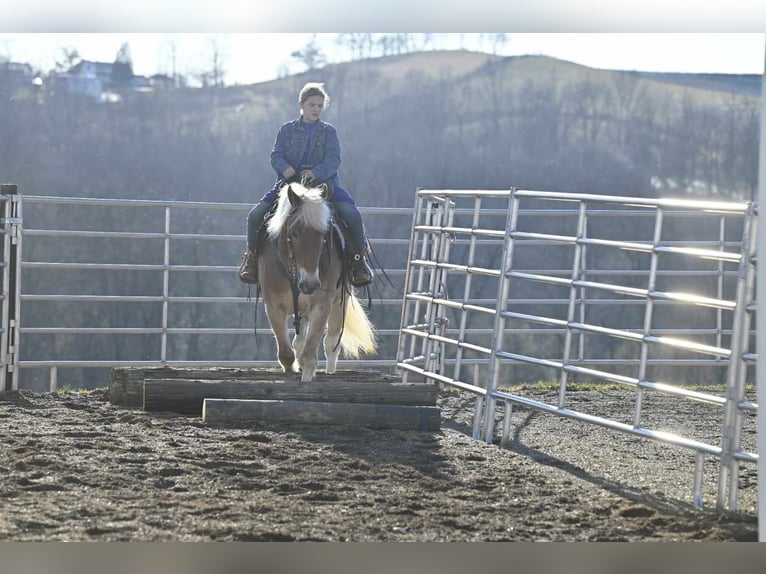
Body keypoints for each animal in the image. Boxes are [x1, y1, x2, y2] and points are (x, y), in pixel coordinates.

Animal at [258, 182, 378, 384]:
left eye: (323, 235)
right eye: (294, 232)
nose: (310, 284)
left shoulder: (322, 306)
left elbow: (309, 356)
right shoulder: (273, 307)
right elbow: (287, 355)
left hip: (340, 301)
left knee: (331, 344)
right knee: (299, 343)